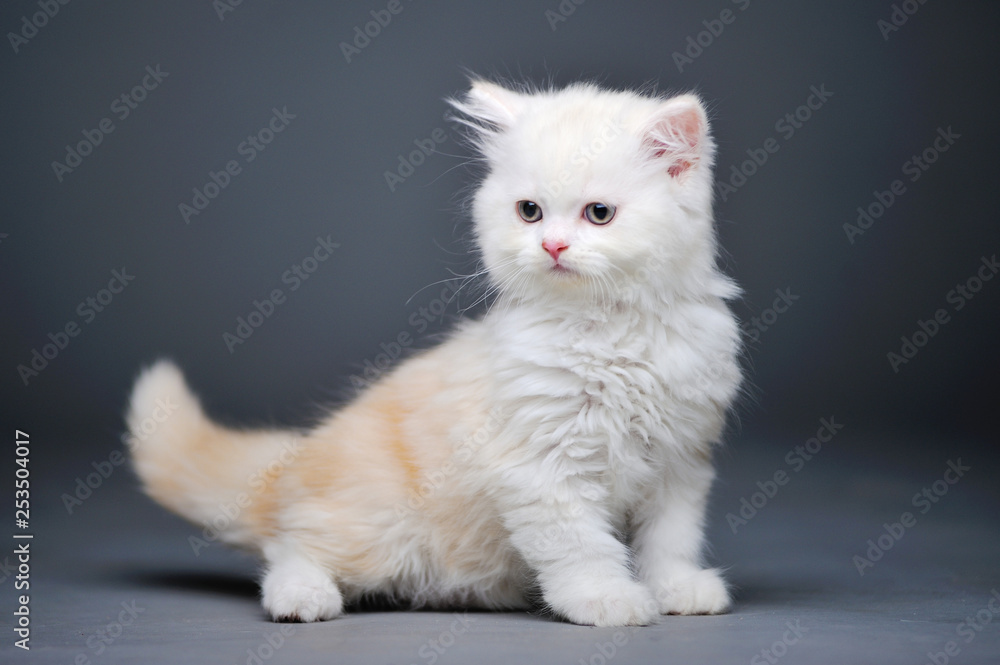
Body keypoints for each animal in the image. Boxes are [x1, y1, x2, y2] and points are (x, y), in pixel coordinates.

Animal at [127, 80, 744, 624]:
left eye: (599, 214)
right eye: (529, 211)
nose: (552, 246)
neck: (610, 330)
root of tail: (294, 463)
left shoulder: (681, 461)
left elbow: (670, 540)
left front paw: (676, 589)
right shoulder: (542, 467)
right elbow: (581, 546)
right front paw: (605, 599)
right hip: (374, 527)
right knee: (290, 546)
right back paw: (301, 599)